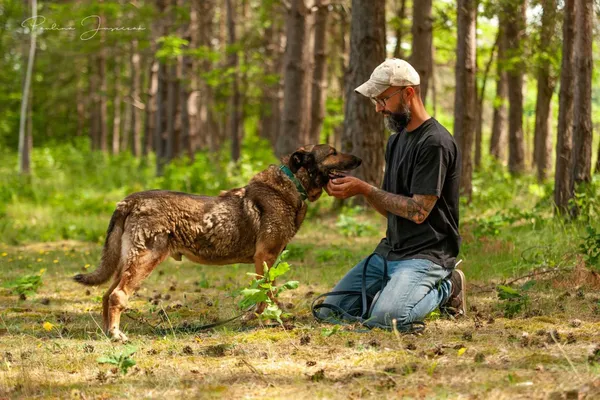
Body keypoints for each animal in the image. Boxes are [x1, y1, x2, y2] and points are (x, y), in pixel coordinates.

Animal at [70, 144, 360, 340]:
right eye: (333, 152)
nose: (360, 158)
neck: (292, 185)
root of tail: (129, 201)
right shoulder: (264, 257)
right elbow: (265, 293)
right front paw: (263, 318)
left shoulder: (268, 259)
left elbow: (268, 293)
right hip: (144, 260)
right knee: (117, 295)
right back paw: (116, 335)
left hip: (125, 261)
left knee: (107, 295)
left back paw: (108, 332)